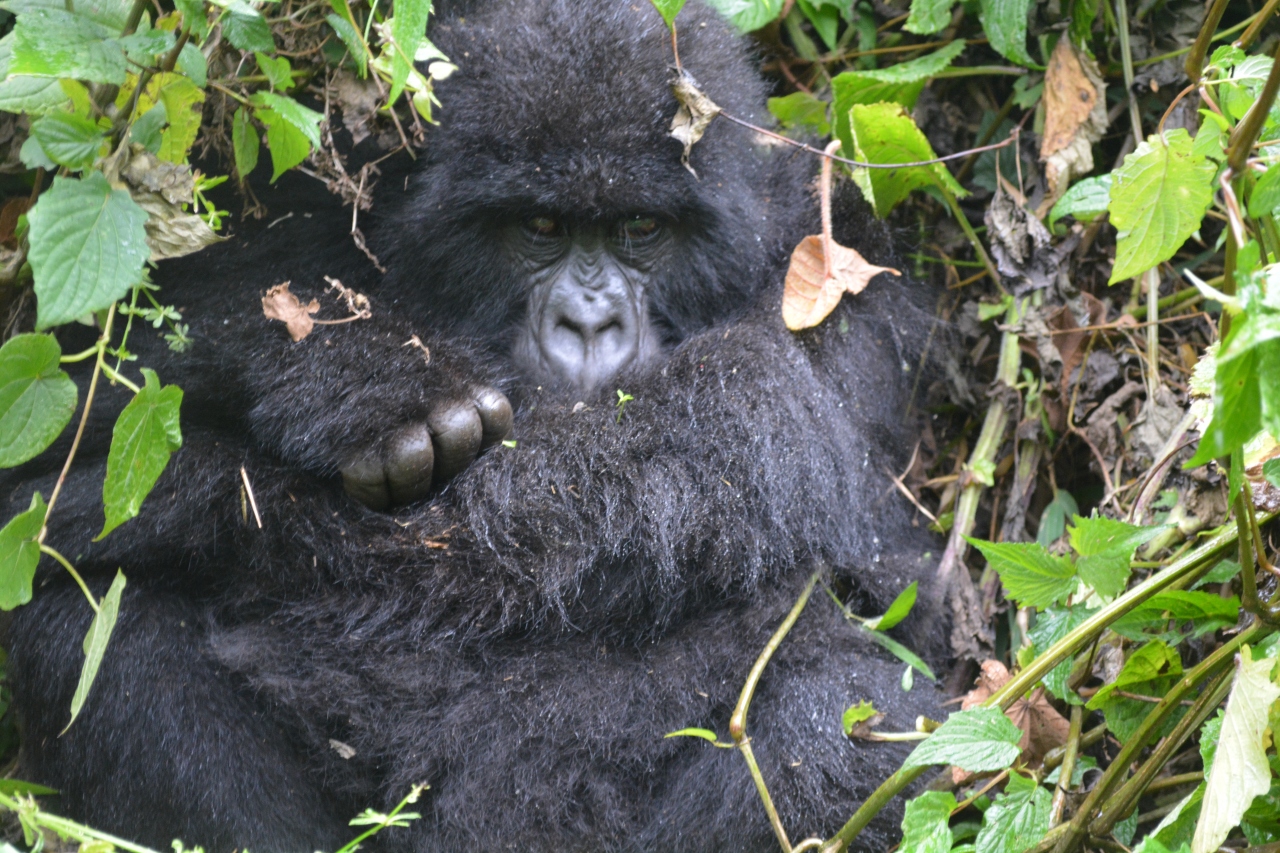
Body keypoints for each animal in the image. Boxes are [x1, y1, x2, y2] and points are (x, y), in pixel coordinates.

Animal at [0, 1, 947, 850]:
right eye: (540, 226)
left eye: (641, 228)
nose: (590, 325)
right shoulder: (303, 210)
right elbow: (86, 427)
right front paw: (362, 376)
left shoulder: (838, 279)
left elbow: (751, 447)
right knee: (96, 620)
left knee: (853, 722)